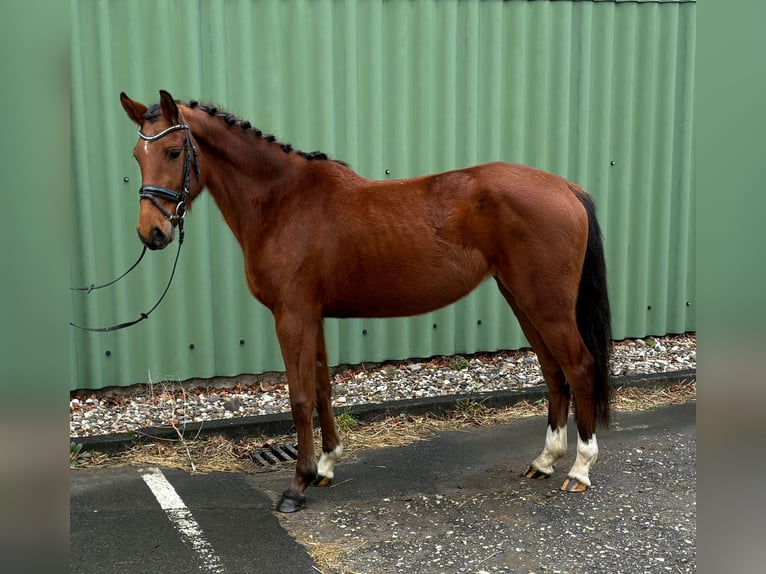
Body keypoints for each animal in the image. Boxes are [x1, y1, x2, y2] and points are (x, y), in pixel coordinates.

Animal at [118, 91, 612, 516]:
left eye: (174, 152)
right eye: (138, 156)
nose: (151, 234)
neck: (282, 202)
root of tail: (565, 187)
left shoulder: (292, 316)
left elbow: (300, 397)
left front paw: (296, 487)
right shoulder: (311, 316)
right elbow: (322, 389)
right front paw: (325, 467)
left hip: (544, 304)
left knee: (579, 366)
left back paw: (580, 469)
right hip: (521, 299)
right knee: (553, 371)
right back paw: (544, 461)